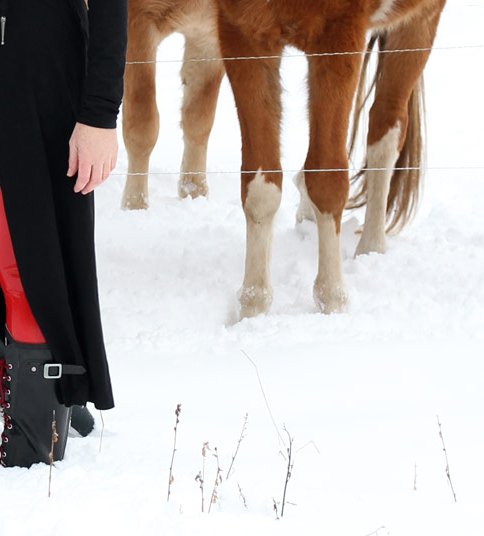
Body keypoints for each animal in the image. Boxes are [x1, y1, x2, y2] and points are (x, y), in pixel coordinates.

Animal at [122, 0, 223, 209]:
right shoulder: (138, 23)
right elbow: (142, 127)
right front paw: (135, 205)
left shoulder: (208, 32)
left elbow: (198, 121)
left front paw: (195, 193)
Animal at [215, 0, 446, 318]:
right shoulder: (244, 34)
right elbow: (260, 189)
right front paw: (253, 305)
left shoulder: (337, 37)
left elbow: (327, 179)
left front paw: (332, 300)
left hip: (420, 21)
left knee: (385, 129)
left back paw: (371, 248)